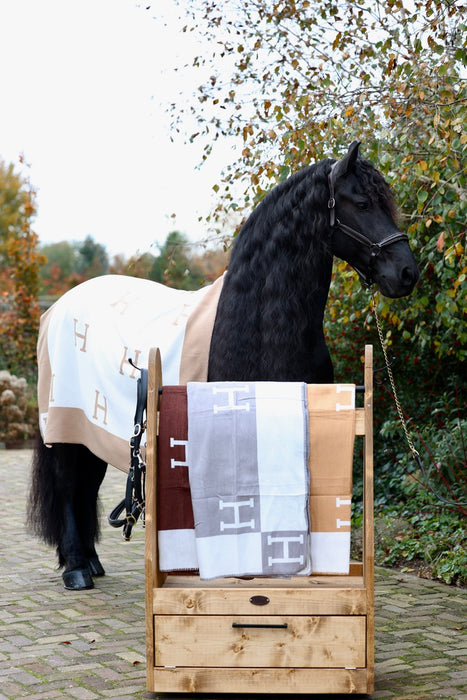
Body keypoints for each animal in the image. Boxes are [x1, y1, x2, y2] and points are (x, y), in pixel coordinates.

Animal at [27, 141, 419, 590]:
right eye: (363, 202)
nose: (407, 273)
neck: (260, 325)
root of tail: (57, 307)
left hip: (99, 433)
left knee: (86, 486)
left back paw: (90, 562)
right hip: (66, 427)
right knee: (68, 484)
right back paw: (76, 568)